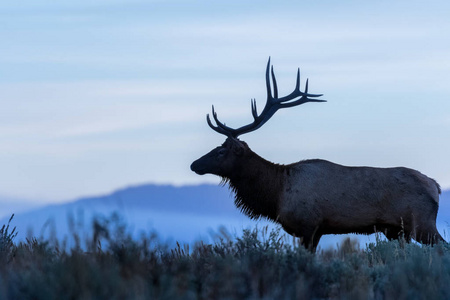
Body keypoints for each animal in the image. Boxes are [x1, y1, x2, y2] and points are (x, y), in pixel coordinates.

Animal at [189, 58, 442, 251]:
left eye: (221, 151)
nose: (194, 164)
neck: (276, 193)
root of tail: (436, 186)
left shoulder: (309, 225)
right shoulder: (319, 230)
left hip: (421, 224)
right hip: (397, 231)